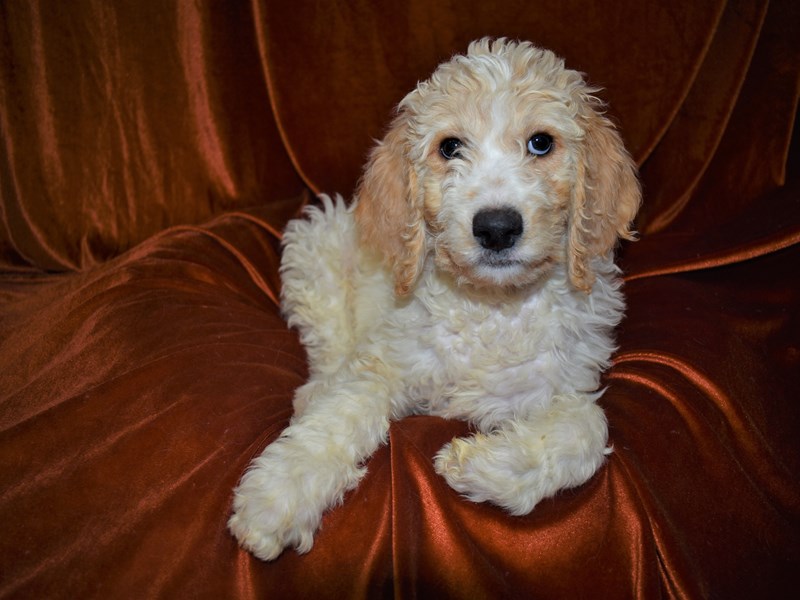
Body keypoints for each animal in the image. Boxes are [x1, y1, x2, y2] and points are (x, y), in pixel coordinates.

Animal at [228, 38, 640, 564]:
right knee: (329, 351)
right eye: (450, 147)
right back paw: (314, 390)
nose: (497, 228)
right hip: (316, 248)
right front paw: (278, 497)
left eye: (541, 143)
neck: (492, 305)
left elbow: (588, 430)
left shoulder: (564, 383)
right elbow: (336, 418)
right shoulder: (386, 362)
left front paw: (481, 465)